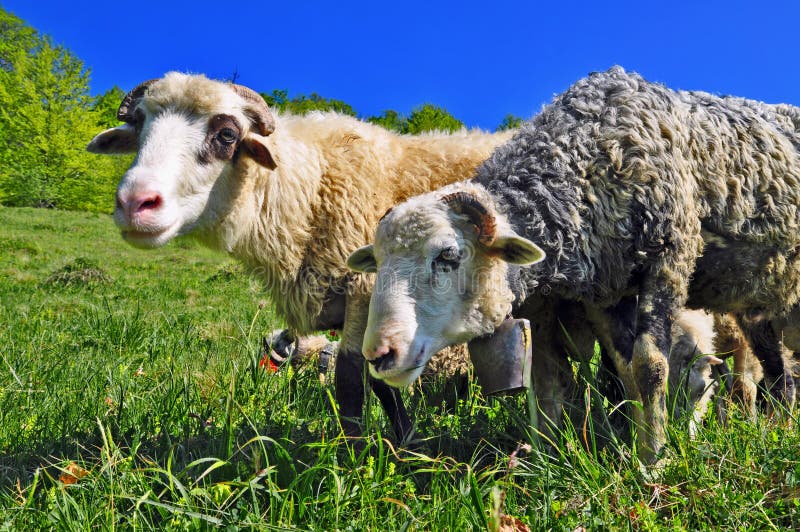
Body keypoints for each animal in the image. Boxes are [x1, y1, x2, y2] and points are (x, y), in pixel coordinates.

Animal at [87, 71, 512, 444]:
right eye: (139, 126)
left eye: (226, 135)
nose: (135, 202)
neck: (308, 189)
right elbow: (379, 379)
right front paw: (404, 441)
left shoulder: (365, 288)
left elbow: (350, 380)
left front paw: (360, 455)